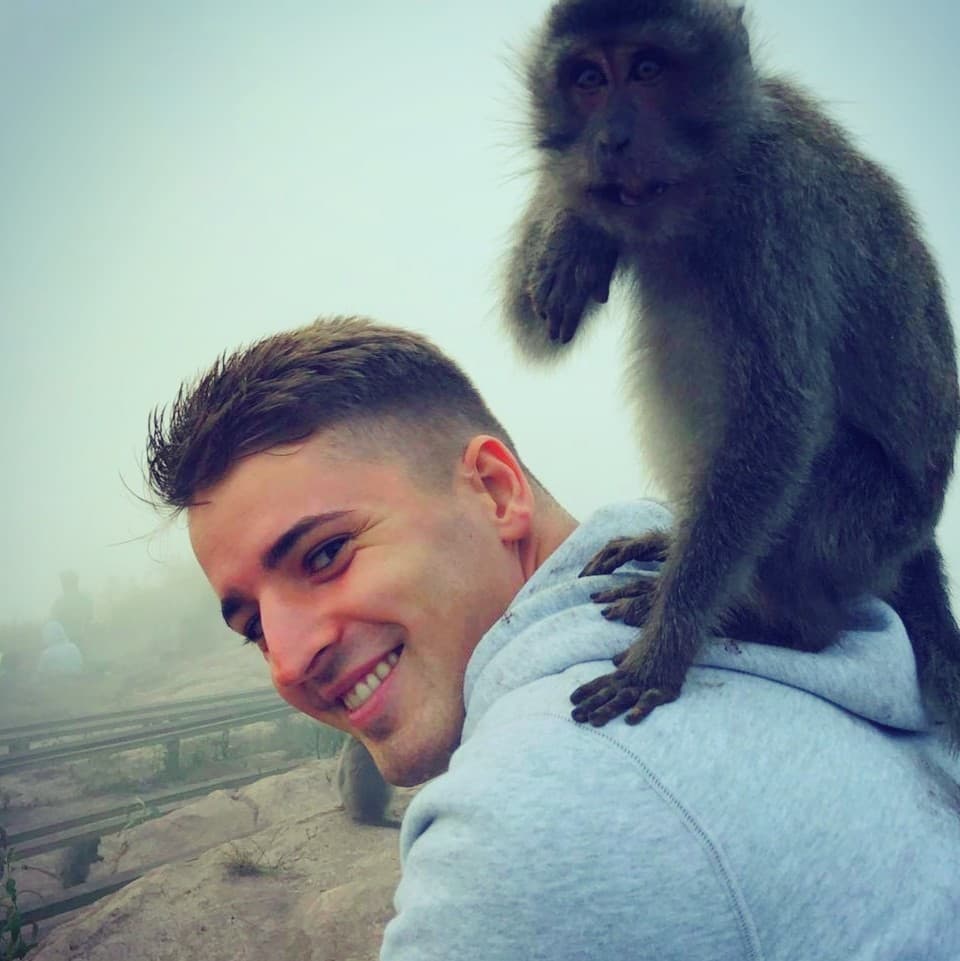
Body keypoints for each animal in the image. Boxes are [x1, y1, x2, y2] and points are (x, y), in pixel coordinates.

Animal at [503, 0, 960, 741]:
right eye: (588, 80)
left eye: (648, 69)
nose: (612, 142)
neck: (713, 169)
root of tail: (921, 544)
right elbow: (530, 327)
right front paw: (576, 225)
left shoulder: (774, 210)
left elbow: (775, 419)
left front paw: (665, 648)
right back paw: (673, 543)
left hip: (874, 525)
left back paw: (781, 622)